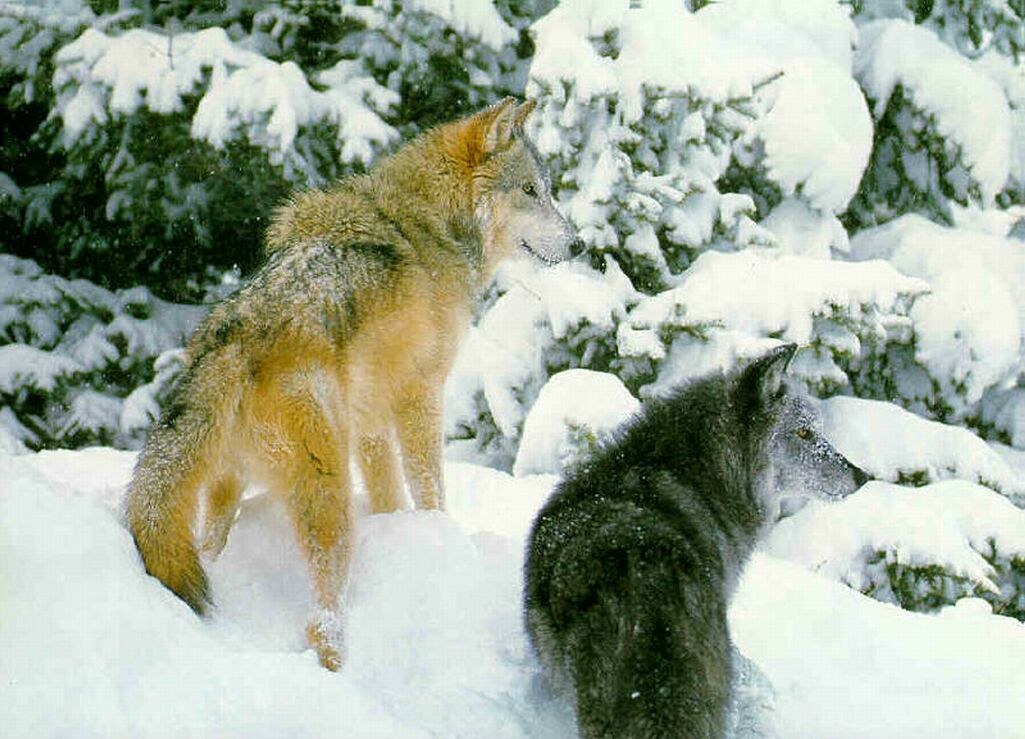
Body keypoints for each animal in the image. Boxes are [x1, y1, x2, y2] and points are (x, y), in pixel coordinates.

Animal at [125, 98, 580, 670]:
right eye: (530, 192)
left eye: (548, 190)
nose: (579, 243)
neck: (433, 229)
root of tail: (231, 338)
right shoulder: (420, 396)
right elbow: (430, 488)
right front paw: (441, 538)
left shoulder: (371, 420)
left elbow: (389, 493)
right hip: (330, 492)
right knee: (322, 618)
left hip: (231, 489)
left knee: (207, 551)